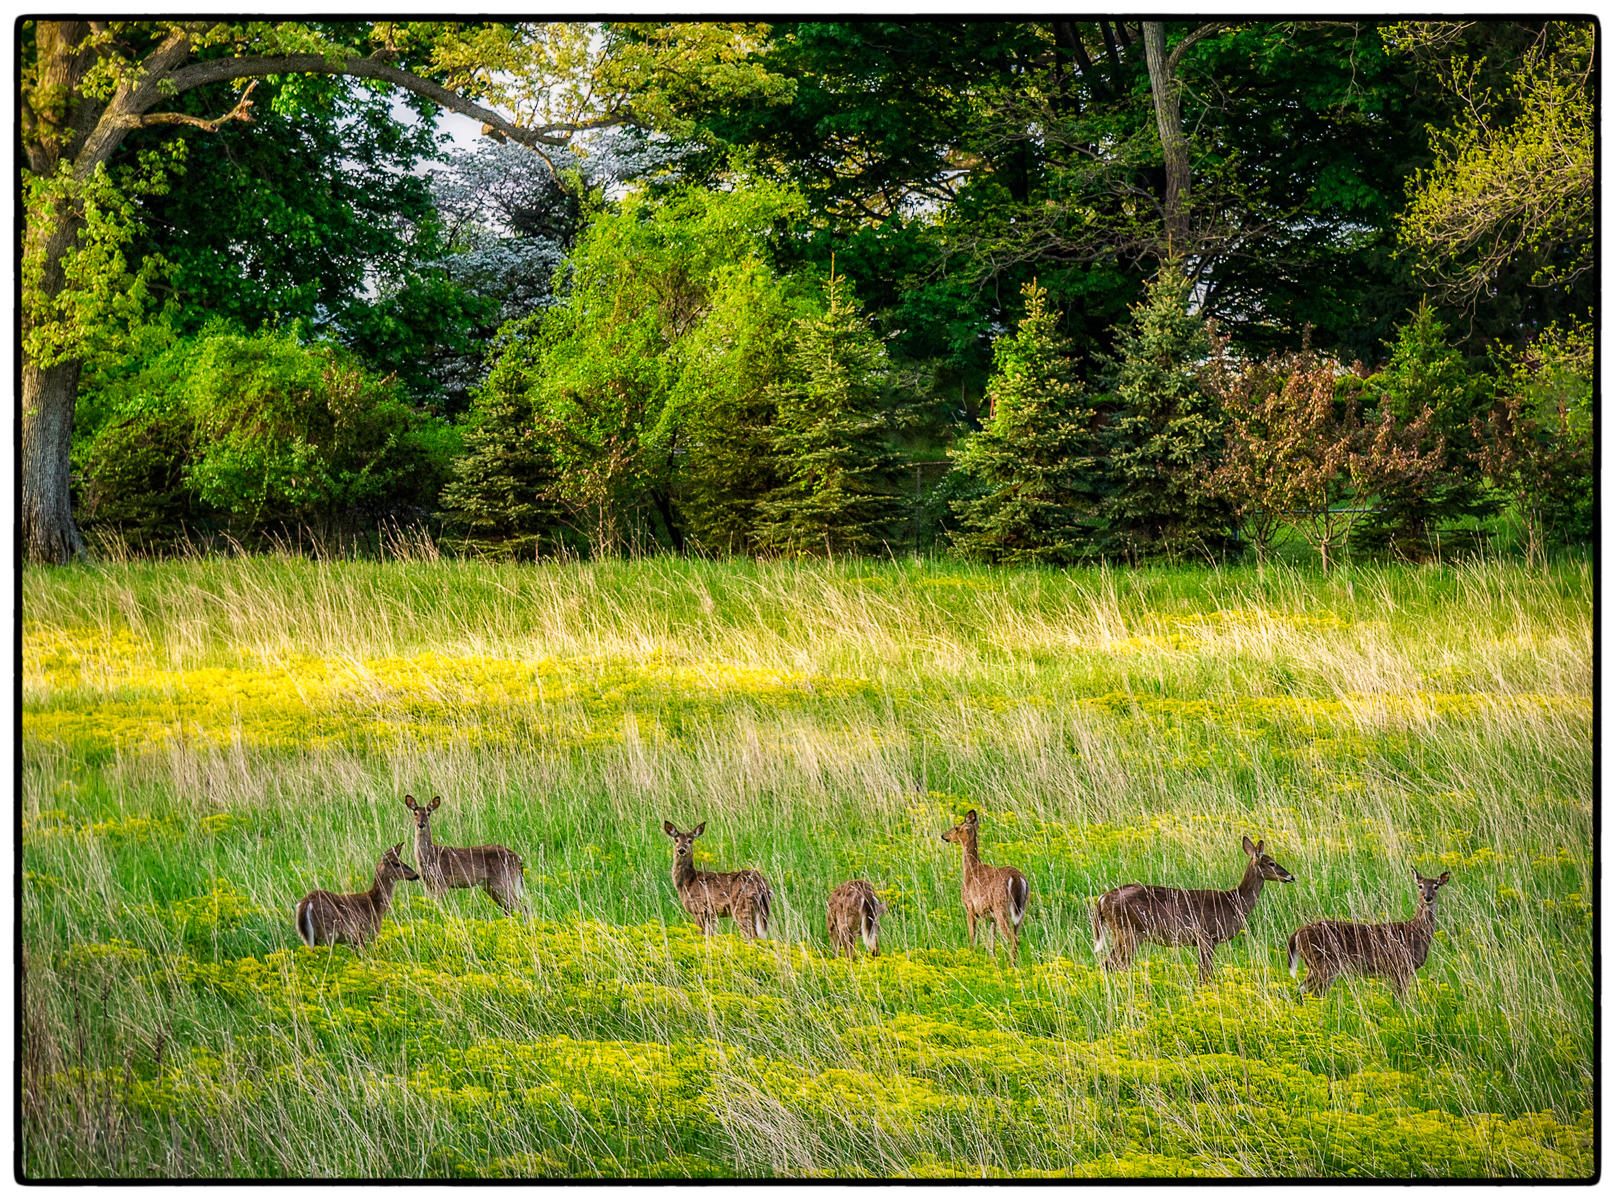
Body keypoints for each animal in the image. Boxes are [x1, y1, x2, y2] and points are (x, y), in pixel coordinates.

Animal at [943, 807, 1027, 969]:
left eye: (956, 827)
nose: (944, 836)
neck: (971, 870)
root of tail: (1016, 878)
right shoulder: (991, 918)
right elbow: (991, 944)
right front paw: (992, 960)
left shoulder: (970, 907)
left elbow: (972, 937)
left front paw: (970, 957)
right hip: (1021, 910)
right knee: (1016, 937)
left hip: (1001, 906)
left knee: (1013, 939)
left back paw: (1011, 967)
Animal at [1091, 833, 1292, 988]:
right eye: (1272, 863)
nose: (1291, 876)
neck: (1234, 902)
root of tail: (1102, 899)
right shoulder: (1207, 935)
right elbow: (1205, 973)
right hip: (1129, 931)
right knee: (1111, 964)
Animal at [1292, 865, 1459, 1001]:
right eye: (1420, 886)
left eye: (1436, 886)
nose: (1427, 897)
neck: (1416, 931)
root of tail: (1297, 934)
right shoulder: (1401, 966)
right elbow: (1400, 998)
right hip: (1323, 962)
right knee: (1308, 992)